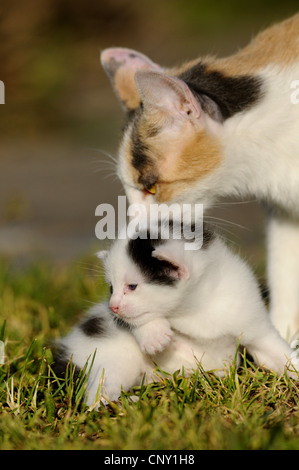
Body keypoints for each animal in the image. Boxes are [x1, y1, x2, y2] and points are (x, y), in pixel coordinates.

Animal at [52, 226, 298, 406]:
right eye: (111, 288)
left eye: (132, 286)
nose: (113, 307)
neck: (199, 306)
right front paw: (154, 334)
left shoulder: (251, 321)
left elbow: (277, 353)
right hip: (111, 359)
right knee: (94, 397)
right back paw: (123, 404)